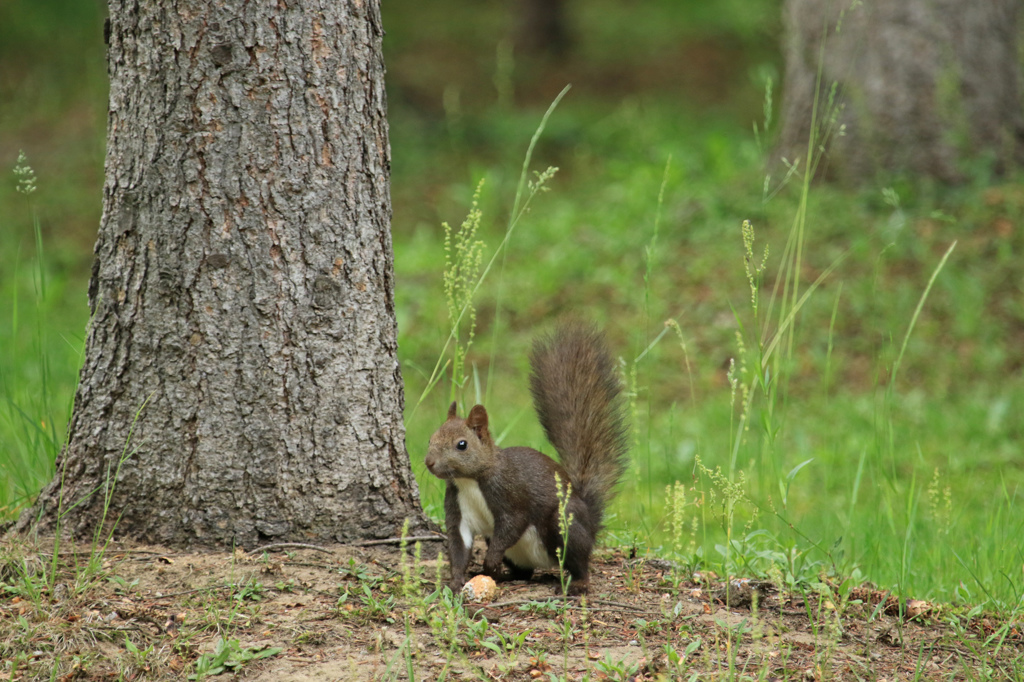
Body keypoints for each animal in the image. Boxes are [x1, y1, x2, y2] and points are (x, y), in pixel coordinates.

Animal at [425, 321, 630, 593]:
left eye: (462, 445)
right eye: (430, 439)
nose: (429, 463)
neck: (470, 481)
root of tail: (591, 523)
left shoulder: (511, 493)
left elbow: (512, 525)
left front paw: (490, 561)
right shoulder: (458, 509)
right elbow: (459, 545)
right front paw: (457, 580)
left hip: (564, 523)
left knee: (578, 560)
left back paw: (577, 583)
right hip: (519, 555)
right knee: (525, 572)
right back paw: (507, 576)